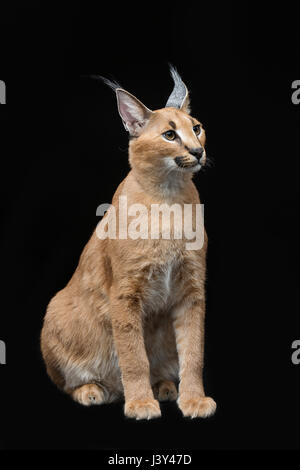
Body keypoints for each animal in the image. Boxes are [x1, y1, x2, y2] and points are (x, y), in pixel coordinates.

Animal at [41, 65, 217, 418]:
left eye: (197, 128)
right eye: (169, 135)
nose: (197, 151)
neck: (168, 197)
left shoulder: (192, 289)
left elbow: (193, 351)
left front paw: (192, 399)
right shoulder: (124, 291)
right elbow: (133, 354)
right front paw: (140, 403)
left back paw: (163, 386)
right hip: (56, 309)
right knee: (68, 380)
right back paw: (94, 390)